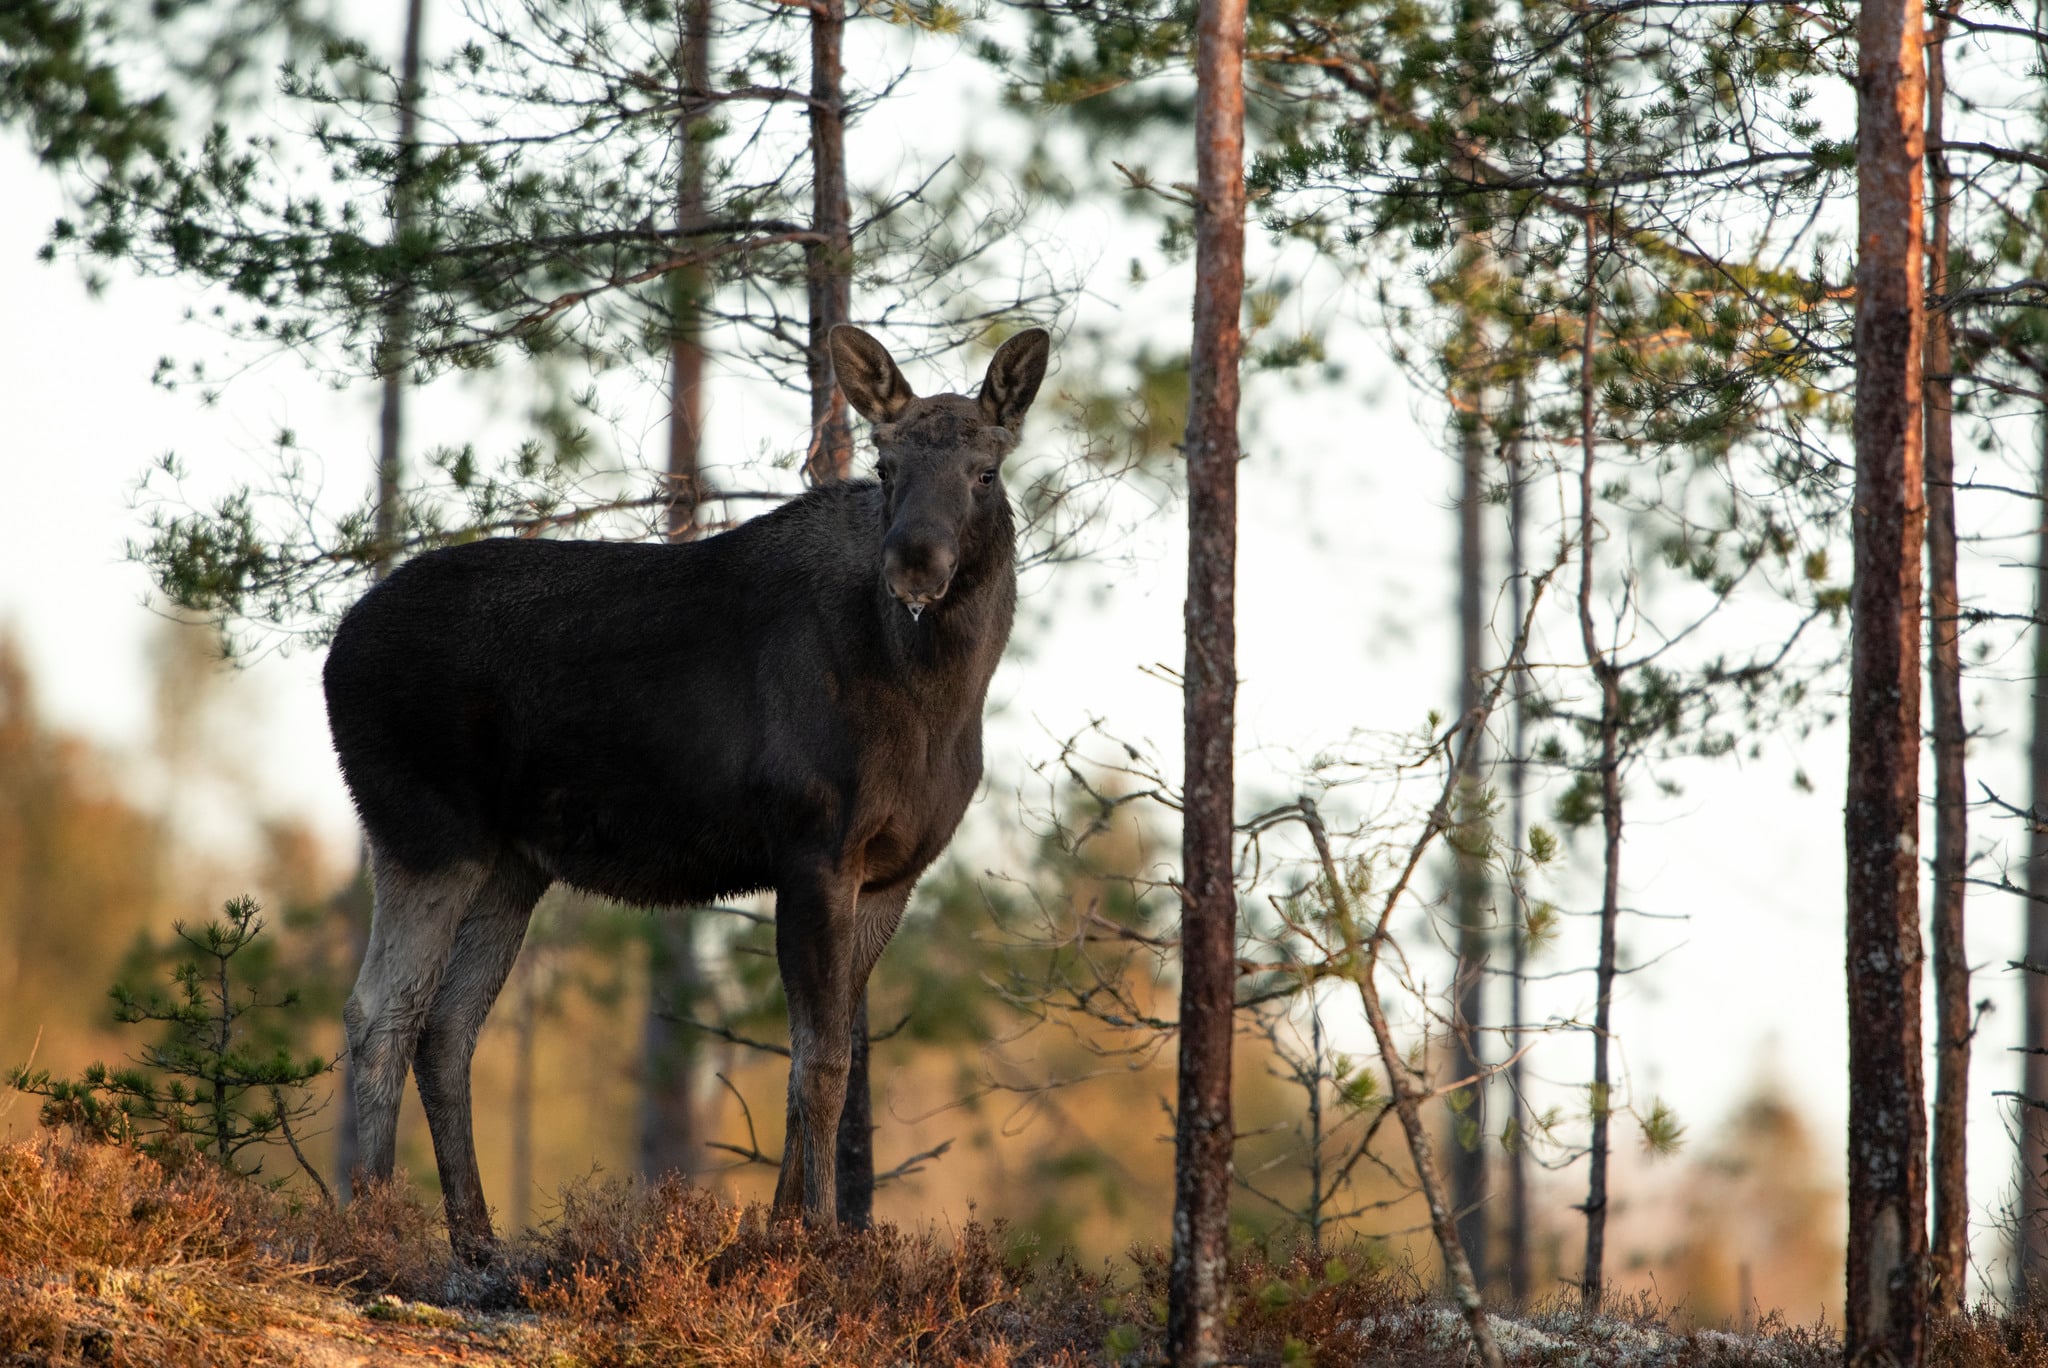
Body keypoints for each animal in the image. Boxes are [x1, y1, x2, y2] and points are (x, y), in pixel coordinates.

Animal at [329, 323, 1056, 1261]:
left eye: (986, 471)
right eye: (887, 464)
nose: (914, 561)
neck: (939, 697)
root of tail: (333, 652)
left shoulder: (892, 873)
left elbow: (822, 1062)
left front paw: (793, 1229)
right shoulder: (814, 846)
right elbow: (822, 1063)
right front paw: (816, 1237)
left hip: (510, 863)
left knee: (447, 1029)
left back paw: (480, 1241)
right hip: (424, 829)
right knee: (380, 1014)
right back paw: (374, 1231)